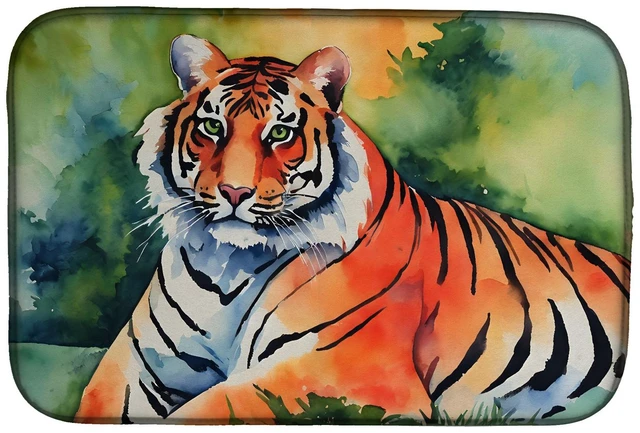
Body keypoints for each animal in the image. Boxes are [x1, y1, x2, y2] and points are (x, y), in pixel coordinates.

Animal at [75, 34, 630, 424]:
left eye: (280, 133)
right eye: (212, 127)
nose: (234, 192)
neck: (228, 265)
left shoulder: (336, 372)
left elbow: (208, 409)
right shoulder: (135, 361)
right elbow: (97, 403)